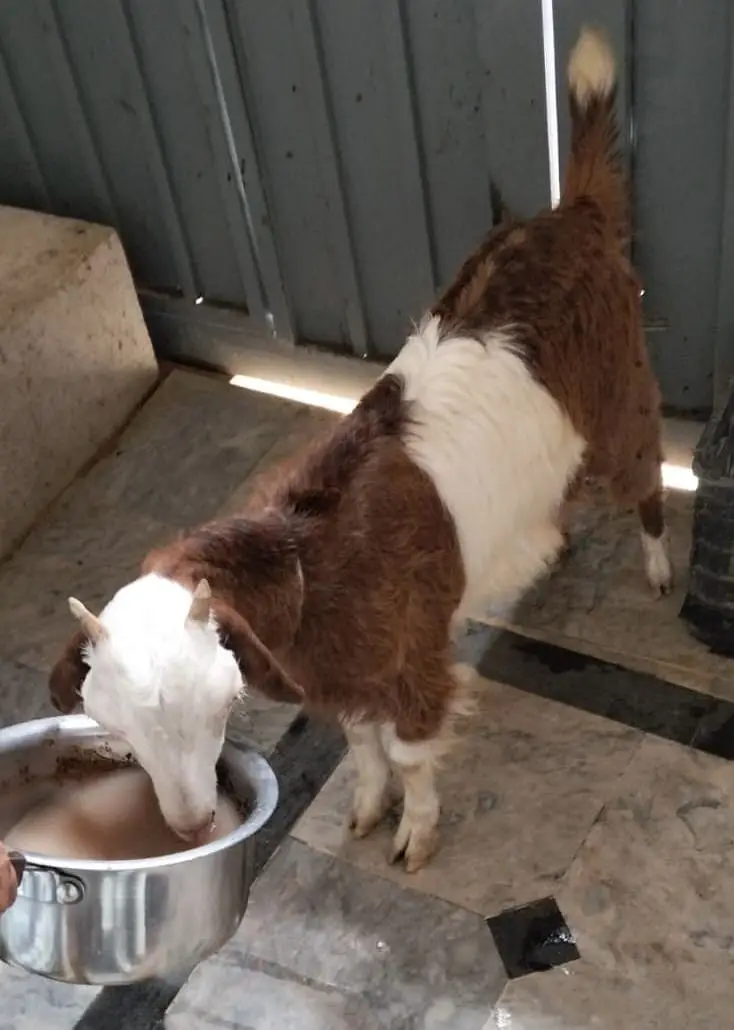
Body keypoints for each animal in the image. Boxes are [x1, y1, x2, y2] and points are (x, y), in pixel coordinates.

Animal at [48, 28, 670, 873]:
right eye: (116, 728)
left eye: (215, 708)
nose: (188, 826)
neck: (307, 569)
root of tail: (573, 214)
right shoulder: (337, 678)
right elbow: (364, 745)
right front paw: (371, 807)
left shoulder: (412, 662)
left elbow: (407, 750)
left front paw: (416, 835)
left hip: (622, 398)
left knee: (646, 473)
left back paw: (659, 567)